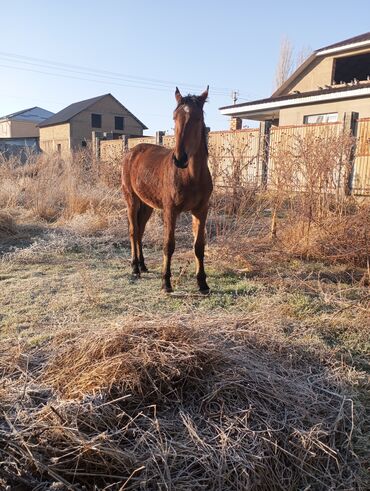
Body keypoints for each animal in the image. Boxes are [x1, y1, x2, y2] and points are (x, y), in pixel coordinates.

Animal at [121, 86, 212, 294]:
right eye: (174, 117)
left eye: (198, 118)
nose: (180, 158)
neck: (191, 176)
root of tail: (131, 153)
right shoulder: (170, 210)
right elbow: (169, 245)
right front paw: (166, 282)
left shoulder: (201, 210)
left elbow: (199, 246)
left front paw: (202, 283)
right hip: (131, 199)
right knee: (133, 231)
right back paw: (135, 268)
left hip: (147, 205)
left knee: (140, 230)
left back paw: (143, 265)